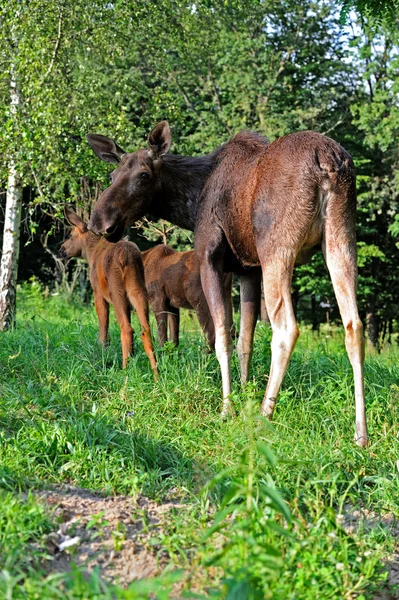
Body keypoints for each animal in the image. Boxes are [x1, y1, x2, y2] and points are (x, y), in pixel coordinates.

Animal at [61, 206, 158, 376]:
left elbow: (103, 330)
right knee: (146, 329)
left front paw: (102, 353)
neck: (90, 253)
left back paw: (124, 371)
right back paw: (156, 373)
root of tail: (126, 257)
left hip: (116, 290)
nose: (61, 250)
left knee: (127, 329)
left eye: (71, 236)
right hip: (137, 289)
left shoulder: (98, 294)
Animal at [86, 120, 368, 446]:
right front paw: (244, 393)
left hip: (277, 247)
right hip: (341, 237)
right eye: (112, 175)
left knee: (286, 328)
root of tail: (328, 160)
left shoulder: (211, 257)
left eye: (144, 175)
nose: (99, 221)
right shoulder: (248, 269)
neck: (191, 202)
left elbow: (221, 337)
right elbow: (245, 340)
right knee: (353, 325)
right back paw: (361, 433)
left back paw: (265, 414)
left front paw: (227, 407)